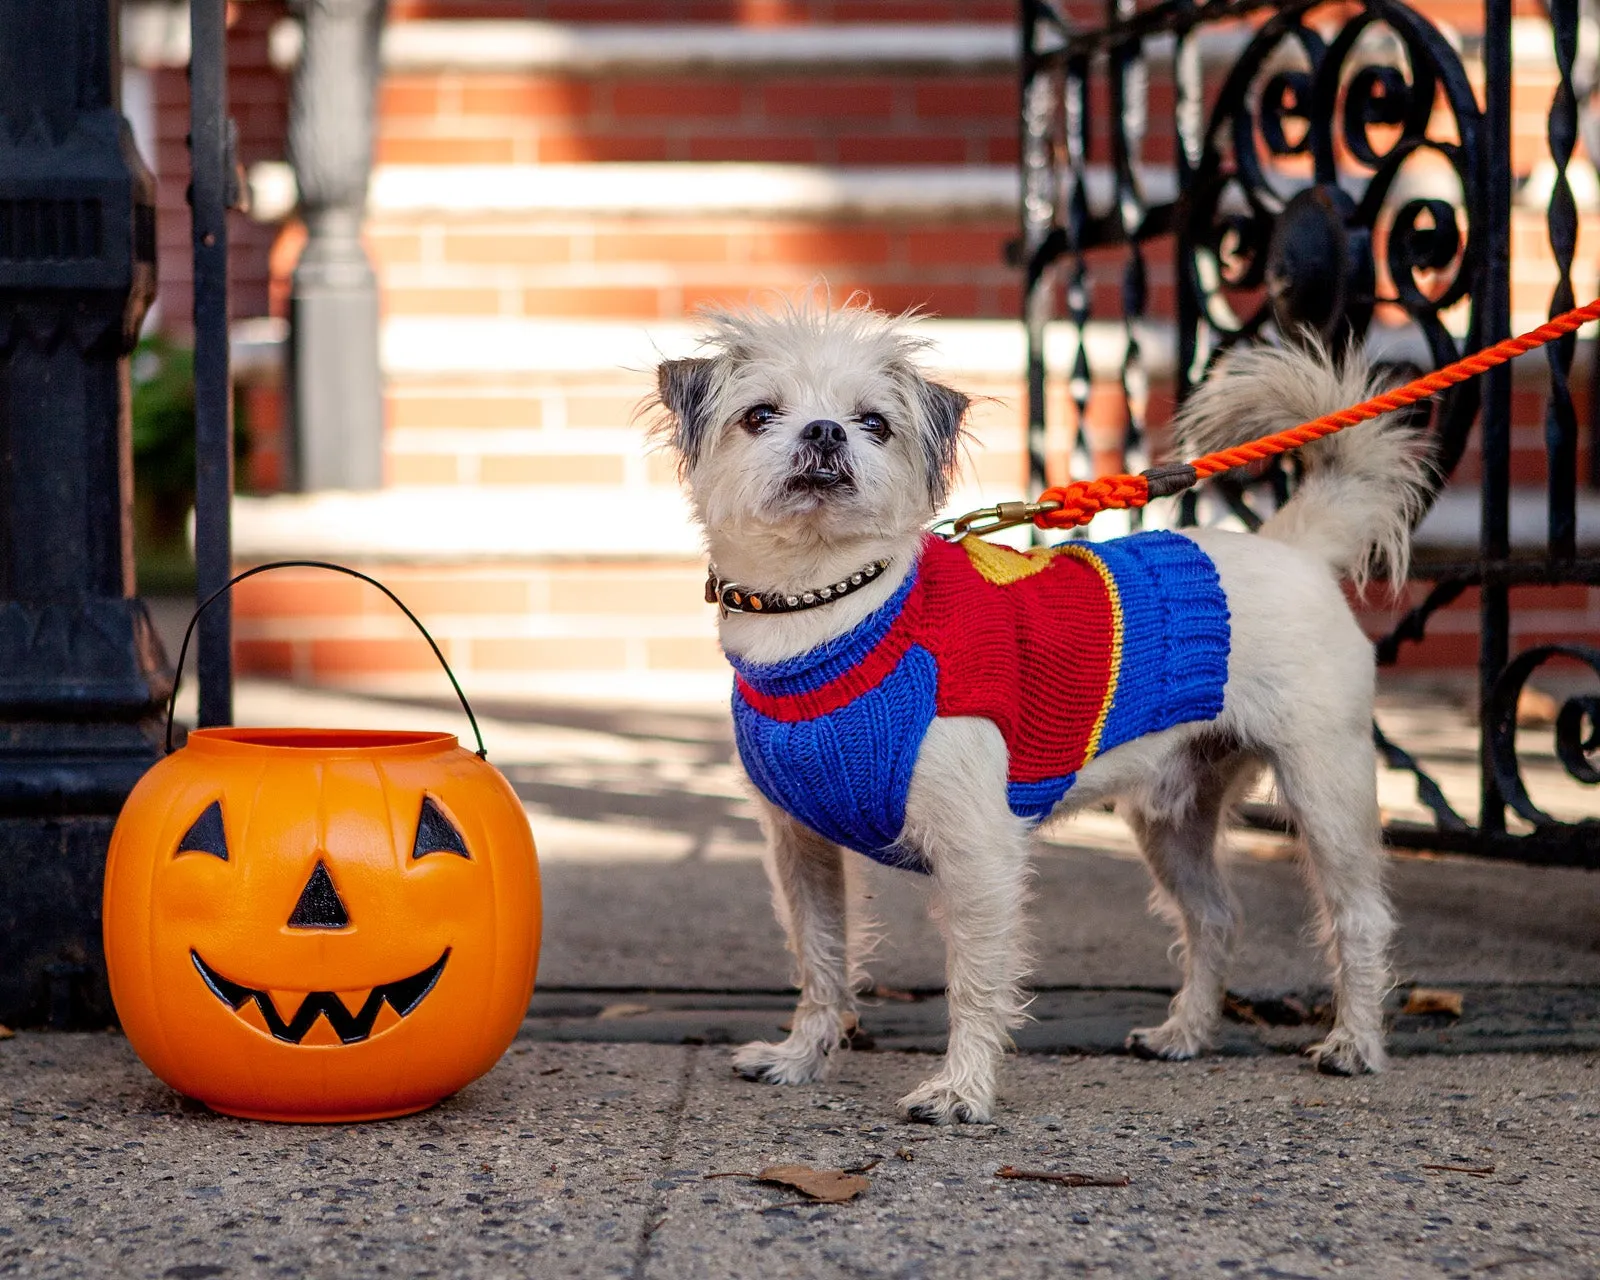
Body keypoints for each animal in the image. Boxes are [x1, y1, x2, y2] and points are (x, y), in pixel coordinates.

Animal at [649, 294, 1440, 1126]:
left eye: (873, 423)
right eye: (760, 415)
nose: (826, 431)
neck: (830, 612)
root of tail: (1294, 547)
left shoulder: (978, 854)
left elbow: (973, 982)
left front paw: (961, 1091)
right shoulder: (801, 848)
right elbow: (821, 957)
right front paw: (803, 1056)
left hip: (1325, 788)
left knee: (1358, 916)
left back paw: (1355, 1042)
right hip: (1172, 818)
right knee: (1215, 916)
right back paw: (1186, 1034)